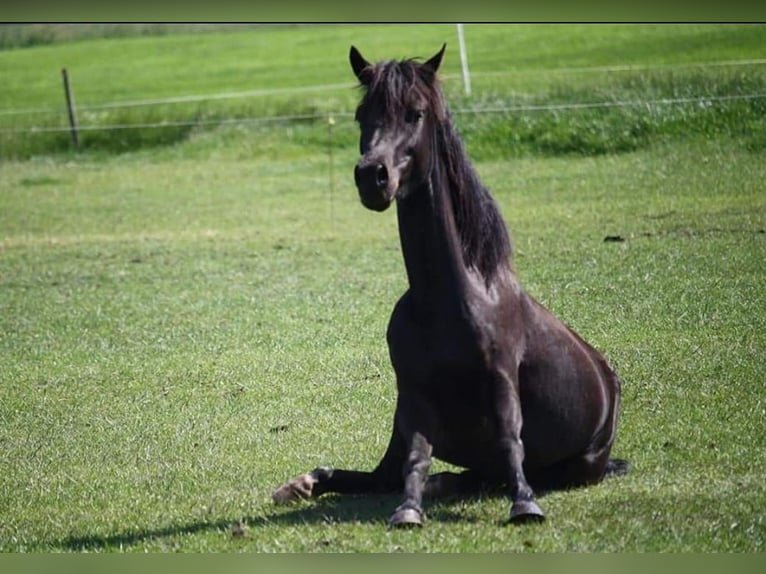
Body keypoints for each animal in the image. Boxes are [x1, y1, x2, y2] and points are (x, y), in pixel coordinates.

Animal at [272, 46, 628, 532]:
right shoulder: (415, 397)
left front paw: (525, 504)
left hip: (581, 463)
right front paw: (408, 508)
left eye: (415, 113)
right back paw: (305, 484)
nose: (372, 177)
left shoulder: (501, 380)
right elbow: (416, 460)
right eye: (362, 114)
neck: (446, 300)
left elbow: (509, 442)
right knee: (395, 475)